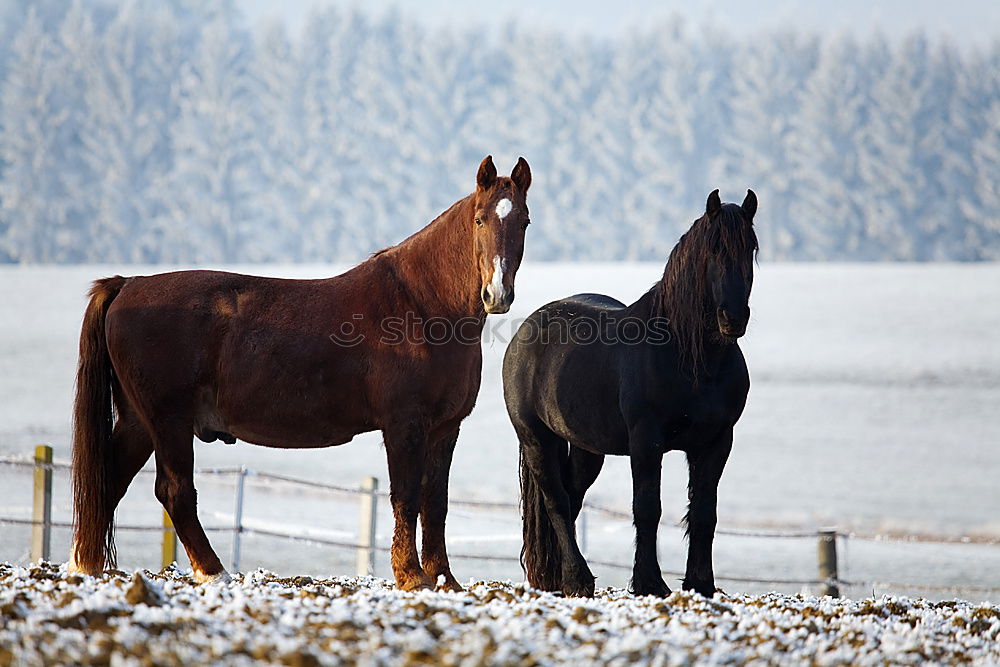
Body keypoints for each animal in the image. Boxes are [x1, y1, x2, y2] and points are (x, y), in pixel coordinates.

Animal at [72, 155, 532, 588]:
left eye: (524, 221)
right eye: (480, 219)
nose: (497, 294)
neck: (420, 305)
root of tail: (129, 284)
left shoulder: (445, 429)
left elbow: (435, 503)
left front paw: (443, 579)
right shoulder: (405, 425)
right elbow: (406, 498)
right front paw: (411, 576)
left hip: (140, 422)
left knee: (108, 482)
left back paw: (86, 567)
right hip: (168, 420)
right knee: (174, 490)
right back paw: (214, 572)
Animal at [508, 190, 756, 596]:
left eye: (750, 247)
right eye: (715, 248)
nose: (733, 318)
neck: (691, 358)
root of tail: (526, 330)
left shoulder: (716, 442)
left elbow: (704, 512)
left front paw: (701, 584)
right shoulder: (646, 441)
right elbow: (647, 508)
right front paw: (649, 583)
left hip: (586, 449)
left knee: (572, 498)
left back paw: (562, 579)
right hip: (537, 439)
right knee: (557, 502)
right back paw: (578, 579)